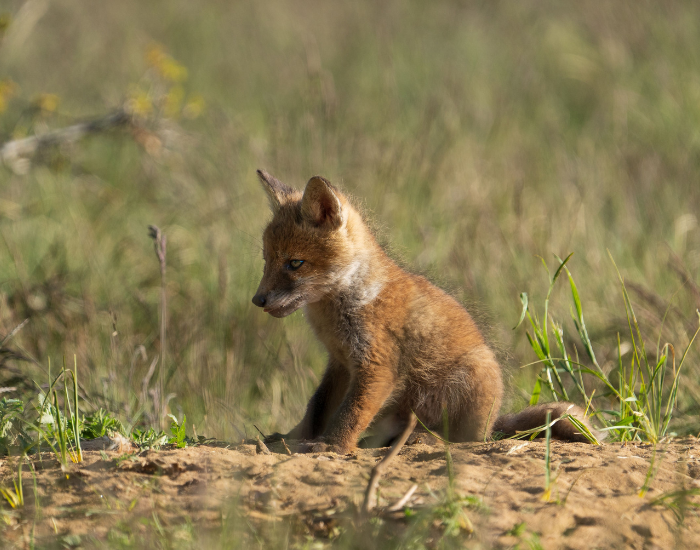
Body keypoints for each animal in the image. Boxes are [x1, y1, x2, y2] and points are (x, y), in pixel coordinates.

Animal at [252, 170, 599, 453]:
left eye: (295, 263)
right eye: (266, 260)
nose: (258, 300)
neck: (344, 303)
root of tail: (493, 423)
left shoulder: (377, 365)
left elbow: (350, 413)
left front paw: (332, 446)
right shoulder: (339, 363)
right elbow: (317, 407)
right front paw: (290, 438)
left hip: (463, 381)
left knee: (462, 441)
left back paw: (424, 439)